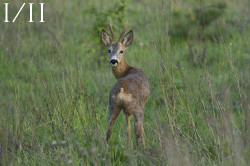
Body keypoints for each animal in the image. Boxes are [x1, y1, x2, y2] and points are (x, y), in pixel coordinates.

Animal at [101, 23, 149, 152]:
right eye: (109, 50)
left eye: (121, 51)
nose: (113, 60)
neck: (127, 70)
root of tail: (121, 90)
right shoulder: (142, 105)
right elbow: (141, 130)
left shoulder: (125, 111)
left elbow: (127, 129)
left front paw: (128, 146)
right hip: (137, 109)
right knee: (138, 131)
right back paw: (140, 151)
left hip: (113, 107)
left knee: (109, 131)